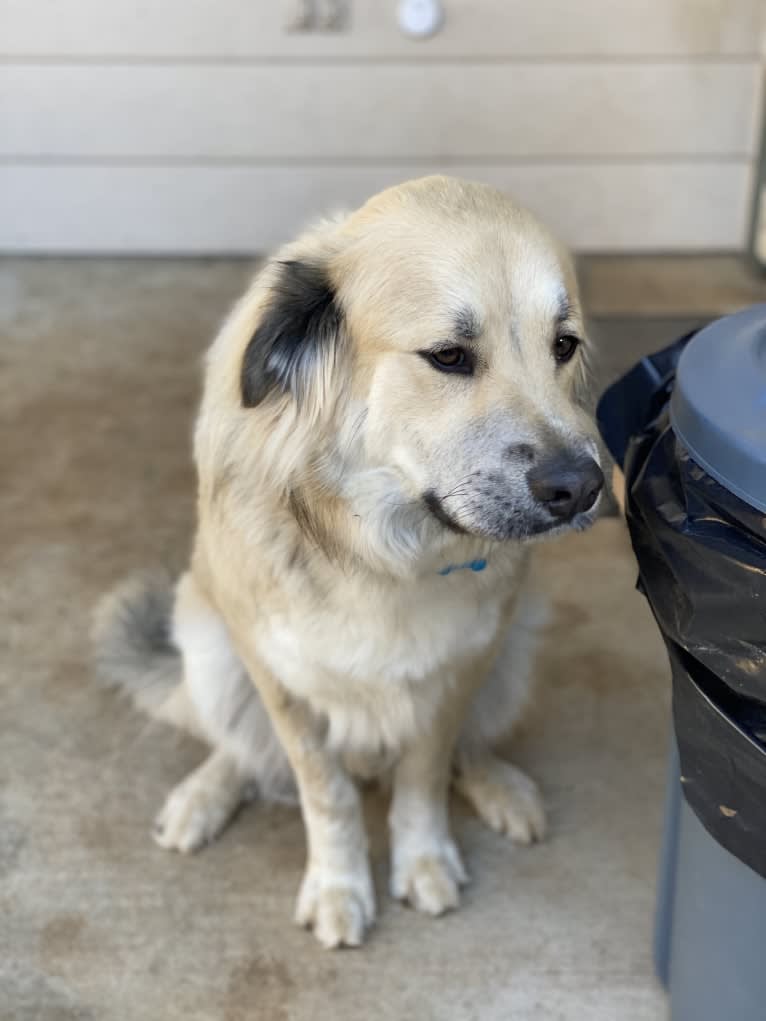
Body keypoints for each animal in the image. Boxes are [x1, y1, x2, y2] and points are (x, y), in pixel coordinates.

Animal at [92, 175, 604, 947]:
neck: (380, 552)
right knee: (239, 745)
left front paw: (422, 858)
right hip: (207, 643)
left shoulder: (457, 668)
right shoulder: (281, 678)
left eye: (563, 346)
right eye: (449, 356)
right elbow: (324, 792)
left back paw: (499, 785)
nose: (584, 487)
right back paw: (202, 795)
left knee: (466, 748)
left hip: (510, 654)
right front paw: (339, 885)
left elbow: (425, 771)